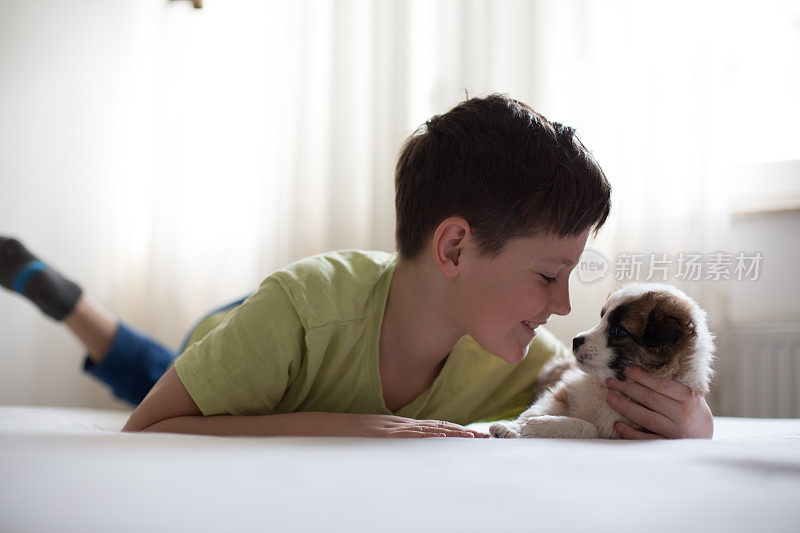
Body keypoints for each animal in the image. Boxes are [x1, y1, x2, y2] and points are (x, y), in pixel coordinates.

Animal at [490, 282, 716, 436]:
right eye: (602, 318)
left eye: (619, 331)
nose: (575, 341)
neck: (607, 387)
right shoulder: (564, 393)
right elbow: (534, 411)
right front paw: (513, 427)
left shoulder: (617, 429)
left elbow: (587, 427)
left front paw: (535, 426)